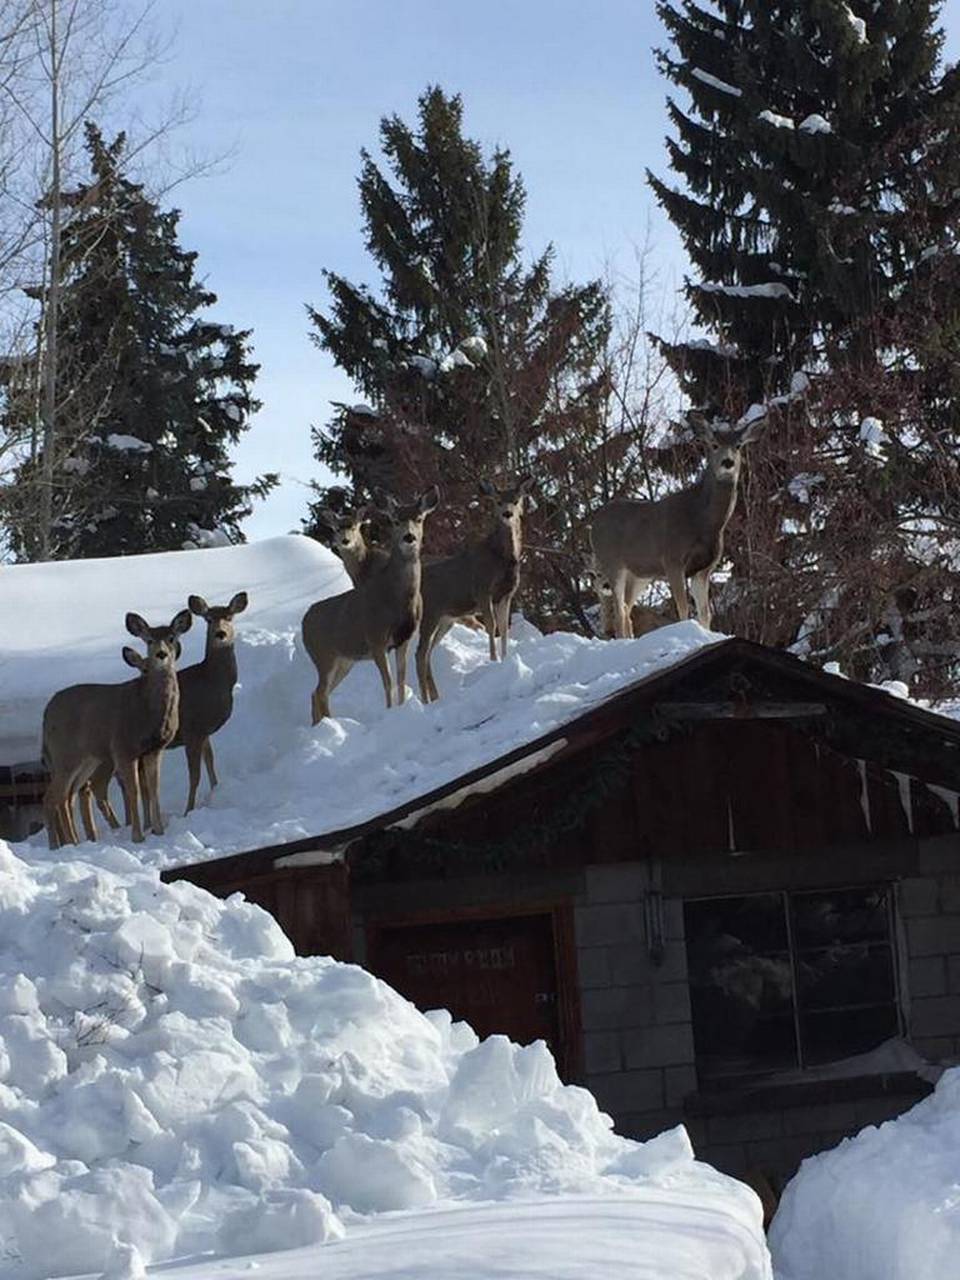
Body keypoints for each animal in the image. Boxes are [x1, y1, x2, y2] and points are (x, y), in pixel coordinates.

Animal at [42, 609, 192, 850]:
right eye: (148, 640)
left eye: (171, 637)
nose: (161, 654)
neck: (148, 713)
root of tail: (45, 714)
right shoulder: (123, 747)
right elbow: (134, 790)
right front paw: (137, 837)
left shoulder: (154, 749)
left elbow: (154, 787)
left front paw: (159, 831)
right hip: (65, 755)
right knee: (50, 798)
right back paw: (57, 846)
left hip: (86, 759)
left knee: (68, 796)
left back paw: (73, 842)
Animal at [301, 486, 439, 723]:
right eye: (394, 520)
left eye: (419, 518)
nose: (409, 537)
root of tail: (304, 621)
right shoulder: (375, 639)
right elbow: (388, 682)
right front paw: (390, 712)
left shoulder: (403, 638)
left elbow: (401, 679)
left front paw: (402, 709)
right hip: (323, 655)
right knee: (320, 692)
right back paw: (331, 724)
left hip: (345, 660)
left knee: (316, 692)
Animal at [416, 474, 534, 704]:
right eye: (497, 501)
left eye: (516, 500)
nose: (507, 513)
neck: (501, 558)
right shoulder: (482, 590)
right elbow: (491, 626)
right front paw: (493, 660)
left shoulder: (505, 595)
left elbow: (503, 628)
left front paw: (505, 659)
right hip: (430, 614)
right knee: (420, 653)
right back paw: (425, 700)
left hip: (446, 619)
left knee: (427, 654)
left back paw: (435, 697)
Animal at [589, 411, 764, 638]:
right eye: (714, 444)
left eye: (739, 445)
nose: (728, 462)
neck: (703, 522)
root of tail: (594, 523)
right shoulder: (673, 560)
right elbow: (683, 610)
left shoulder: (704, 569)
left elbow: (705, 614)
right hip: (613, 563)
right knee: (619, 611)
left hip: (639, 575)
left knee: (626, 611)